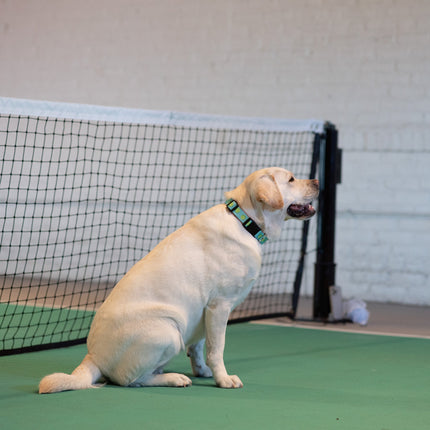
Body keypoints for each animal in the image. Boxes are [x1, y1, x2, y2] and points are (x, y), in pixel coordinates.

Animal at [38, 167, 318, 394]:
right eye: (291, 179)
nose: (317, 181)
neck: (244, 221)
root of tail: (93, 356)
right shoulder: (219, 306)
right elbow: (217, 349)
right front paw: (223, 379)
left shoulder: (206, 312)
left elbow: (199, 347)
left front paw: (203, 370)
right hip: (168, 330)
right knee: (129, 381)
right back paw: (174, 378)